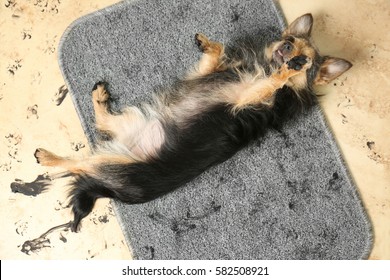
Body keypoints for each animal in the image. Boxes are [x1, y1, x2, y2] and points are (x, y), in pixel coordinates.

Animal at [35, 13, 354, 232]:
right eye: (290, 41)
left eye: (306, 57)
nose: (289, 50)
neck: (261, 65)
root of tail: (111, 191)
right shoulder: (208, 74)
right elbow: (216, 56)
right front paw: (208, 45)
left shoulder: (248, 98)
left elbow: (274, 81)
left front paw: (289, 70)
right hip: (128, 122)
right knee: (102, 123)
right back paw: (99, 97)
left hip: (116, 163)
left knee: (79, 165)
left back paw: (49, 157)